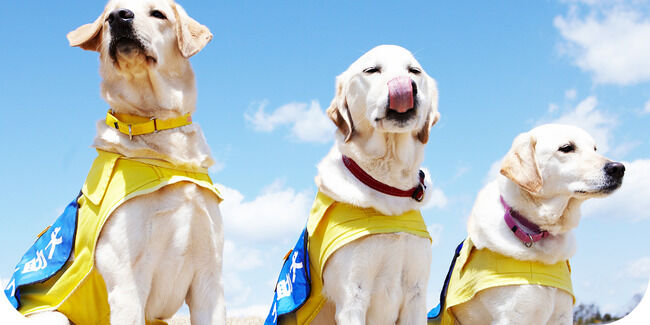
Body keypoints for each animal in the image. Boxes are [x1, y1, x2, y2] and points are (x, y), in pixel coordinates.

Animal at [3, 0, 224, 324]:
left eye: (158, 14)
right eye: (110, 15)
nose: (119, 17)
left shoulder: (210, 279)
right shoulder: (128, 282)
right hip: (55, 316)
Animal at [264, 43, 440, 324]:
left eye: (414, 71)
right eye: (372, 70)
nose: (406, 86)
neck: (387, 184)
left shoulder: (416, 294)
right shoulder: (353, 295)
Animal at [430, 124, 624, 324]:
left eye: (595, 148)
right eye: (567, 148)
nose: (619, 168)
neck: (539, 231)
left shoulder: (562, 315)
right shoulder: (514, 315)